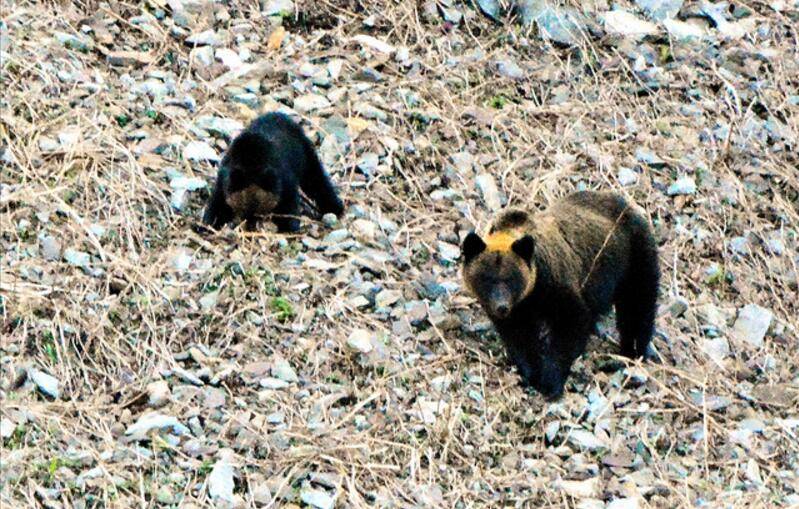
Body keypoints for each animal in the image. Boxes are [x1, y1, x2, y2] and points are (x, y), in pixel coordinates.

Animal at [203, 112, 344, 232]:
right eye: (241, 208)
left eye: (260, 210)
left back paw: (335, 207)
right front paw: (209, 224)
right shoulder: (224, 180)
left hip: (306, 154)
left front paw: (288, 227)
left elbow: (289, 204)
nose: (250, 225)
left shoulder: (284, 181)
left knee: (316, 179)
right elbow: (218, 203)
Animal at [460, 190, 660, 396]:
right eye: (487, 278)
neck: (532, 293)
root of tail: (625, 203)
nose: (501, 306)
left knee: (638, 304)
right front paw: (531, 373)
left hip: (632, 257)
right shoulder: (519, 310)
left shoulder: (555, 285)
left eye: (511, 279)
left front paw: (551, 381)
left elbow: (570, 326)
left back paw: (633, 351)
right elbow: (520, 339)